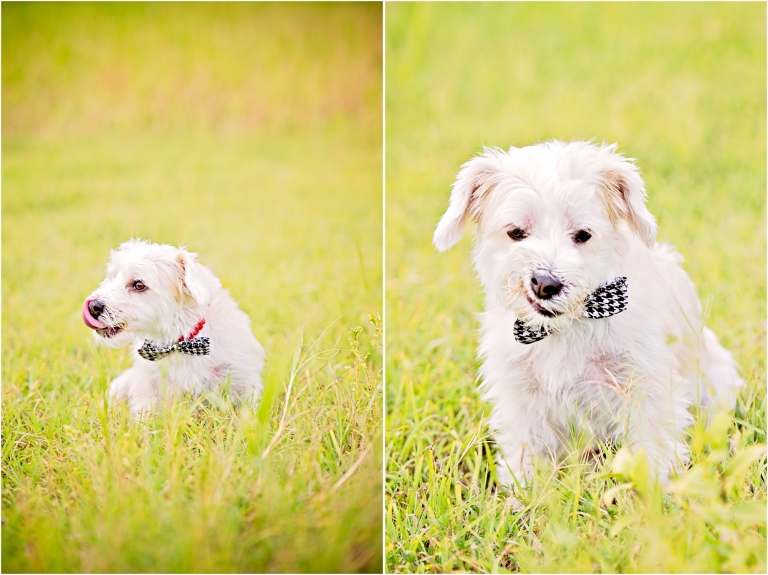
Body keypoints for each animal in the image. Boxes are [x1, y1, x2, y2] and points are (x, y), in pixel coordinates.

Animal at [82, 238, 266, 414]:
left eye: (139, 285)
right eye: (112, 277)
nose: (93, 306)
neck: (179, 341)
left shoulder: (243, 379)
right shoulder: (147, 388)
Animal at [438, 141, 744, 486]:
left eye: (583, 235)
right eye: (516, 232)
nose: (545, 284)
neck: (566, 327)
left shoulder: (646, 386)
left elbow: (653, 449)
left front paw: (654, 492)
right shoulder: (521, 397)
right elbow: (525, 455)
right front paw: (522, 495)